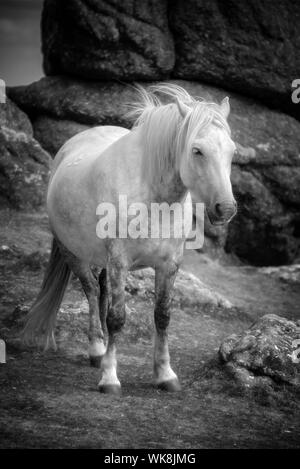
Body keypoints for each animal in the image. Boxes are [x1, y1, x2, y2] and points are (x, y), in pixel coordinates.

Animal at [22, 84, 237, 394]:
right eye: (197, 150)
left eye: (232, 151)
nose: (226, 209)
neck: (152, 199)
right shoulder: (119, 263)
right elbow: (117, 318)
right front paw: (110, 378)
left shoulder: (169, 265)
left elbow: (162, 316)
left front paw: (165, 375)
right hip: (73, 253)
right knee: (91, 291)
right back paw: (97, 350)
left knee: (100, 290)